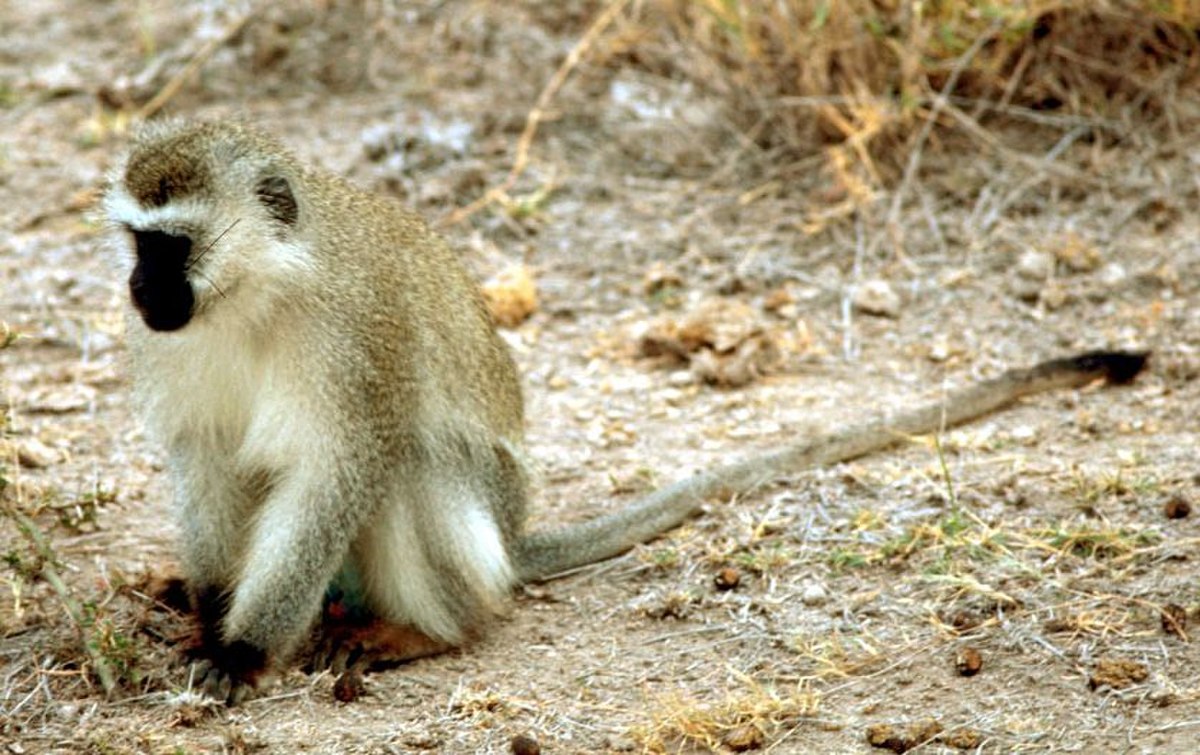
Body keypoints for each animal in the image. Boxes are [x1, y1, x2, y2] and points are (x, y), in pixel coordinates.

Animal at [103, 119, 1147, 704]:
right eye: (140, 243)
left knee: (414, 461)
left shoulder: (358, 336)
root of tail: (514, 539)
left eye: (174, 246)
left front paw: (243, 654)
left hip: (476, 526)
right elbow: (206, 457)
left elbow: (338, 472)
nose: (140, 289)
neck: (257, 292)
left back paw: (429, 630)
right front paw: (208, 618)